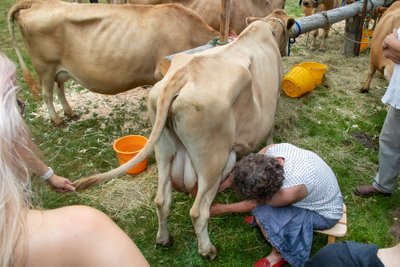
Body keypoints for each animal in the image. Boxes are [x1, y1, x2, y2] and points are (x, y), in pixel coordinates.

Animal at [7, 0, 219, 125]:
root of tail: (37, 3)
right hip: (45, 67)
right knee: (47, 94)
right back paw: (57, 120)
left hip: (60, 68)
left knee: (60, 88)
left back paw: (70, 113)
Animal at [73, 9, 296, 260]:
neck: (264, 29)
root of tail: (183, 74)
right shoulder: (272, 107)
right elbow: (269, 136)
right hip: (212, 159)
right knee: (199, 211)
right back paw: (208, 250)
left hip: (163, 149)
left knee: (161, 199)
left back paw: (164, 239)